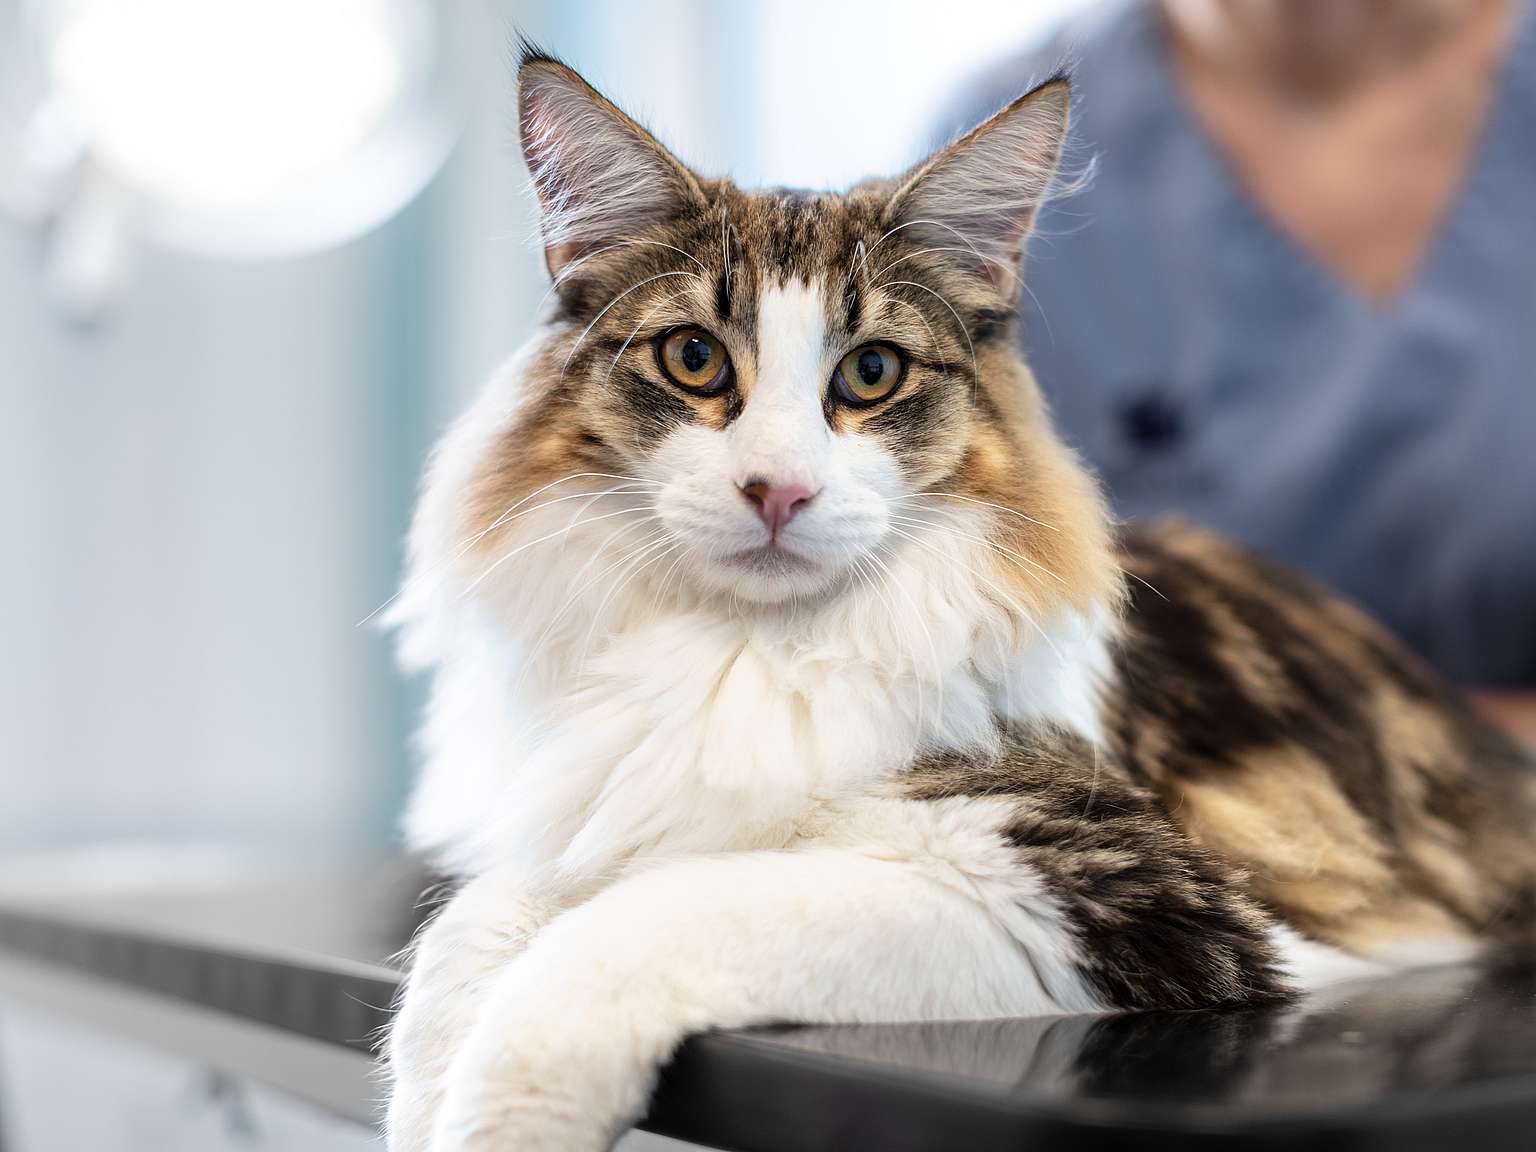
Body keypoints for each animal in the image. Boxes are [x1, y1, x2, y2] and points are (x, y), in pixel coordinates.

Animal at [380, 45, 1536, 1152]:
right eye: (695, 358)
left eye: (872, 373)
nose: (777, 491)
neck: (752, 651)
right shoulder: (581, 824)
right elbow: (465, 941)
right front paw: (427, 1101)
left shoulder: (1107, 887)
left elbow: (625, 931)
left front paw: (494, 1113)